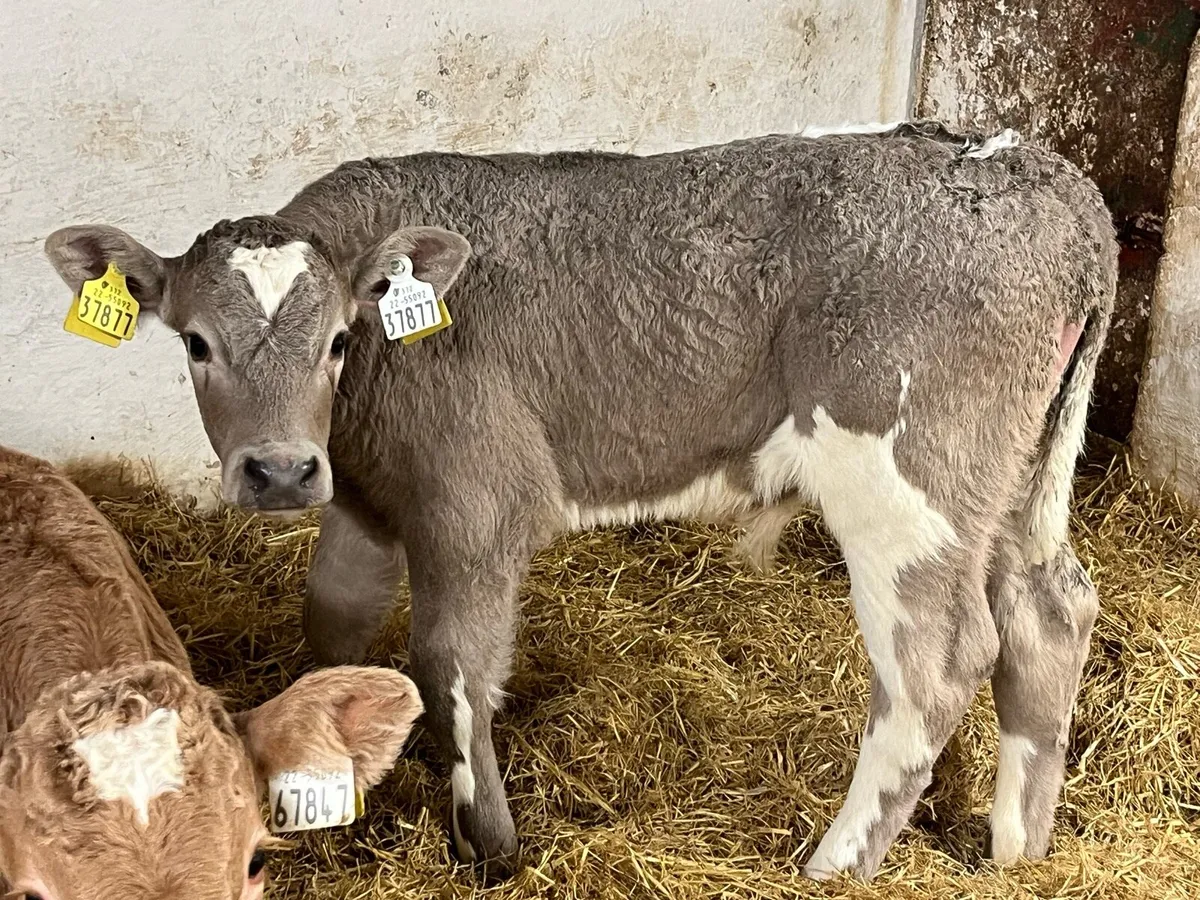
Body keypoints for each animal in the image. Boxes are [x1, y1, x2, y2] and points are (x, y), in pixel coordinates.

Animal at [44, 120, 1118, 881]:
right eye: (195, 343)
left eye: (338, 340)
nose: (278, 471)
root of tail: (1042, 176)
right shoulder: (370, 502)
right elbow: (336, 622)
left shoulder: (475, 500)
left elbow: (452, 662)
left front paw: (489, 844)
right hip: (1010, 482)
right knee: (1049, 612)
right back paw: (1018, 846)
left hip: (906, 480)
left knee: (937, 664)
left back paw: (833, 865)